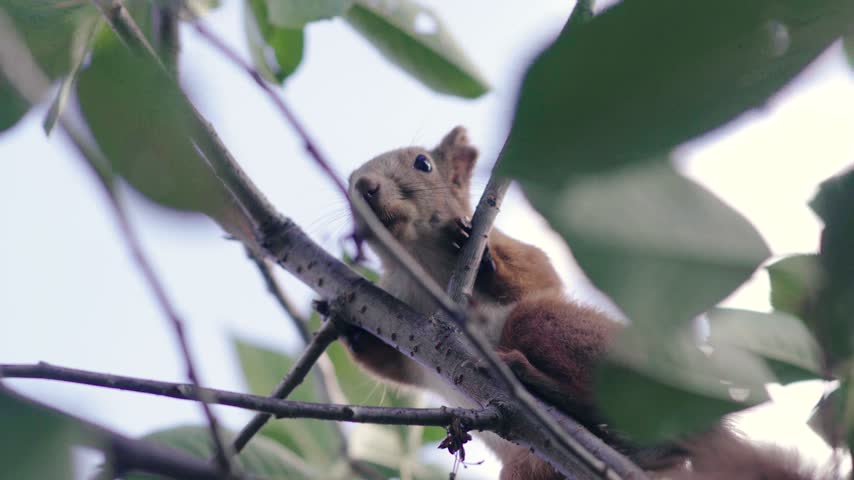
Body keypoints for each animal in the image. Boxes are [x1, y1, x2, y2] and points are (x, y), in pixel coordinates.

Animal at [344, 127, 819, 480]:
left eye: (422, 163)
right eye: (348, 182)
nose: (364, 186)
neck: (420, 264)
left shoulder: (527, 267)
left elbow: (537, 272)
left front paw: (484, 259)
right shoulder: (400, 310)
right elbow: (389, 364)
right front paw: (343, 320)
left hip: (565, 331)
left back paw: (536, 380)